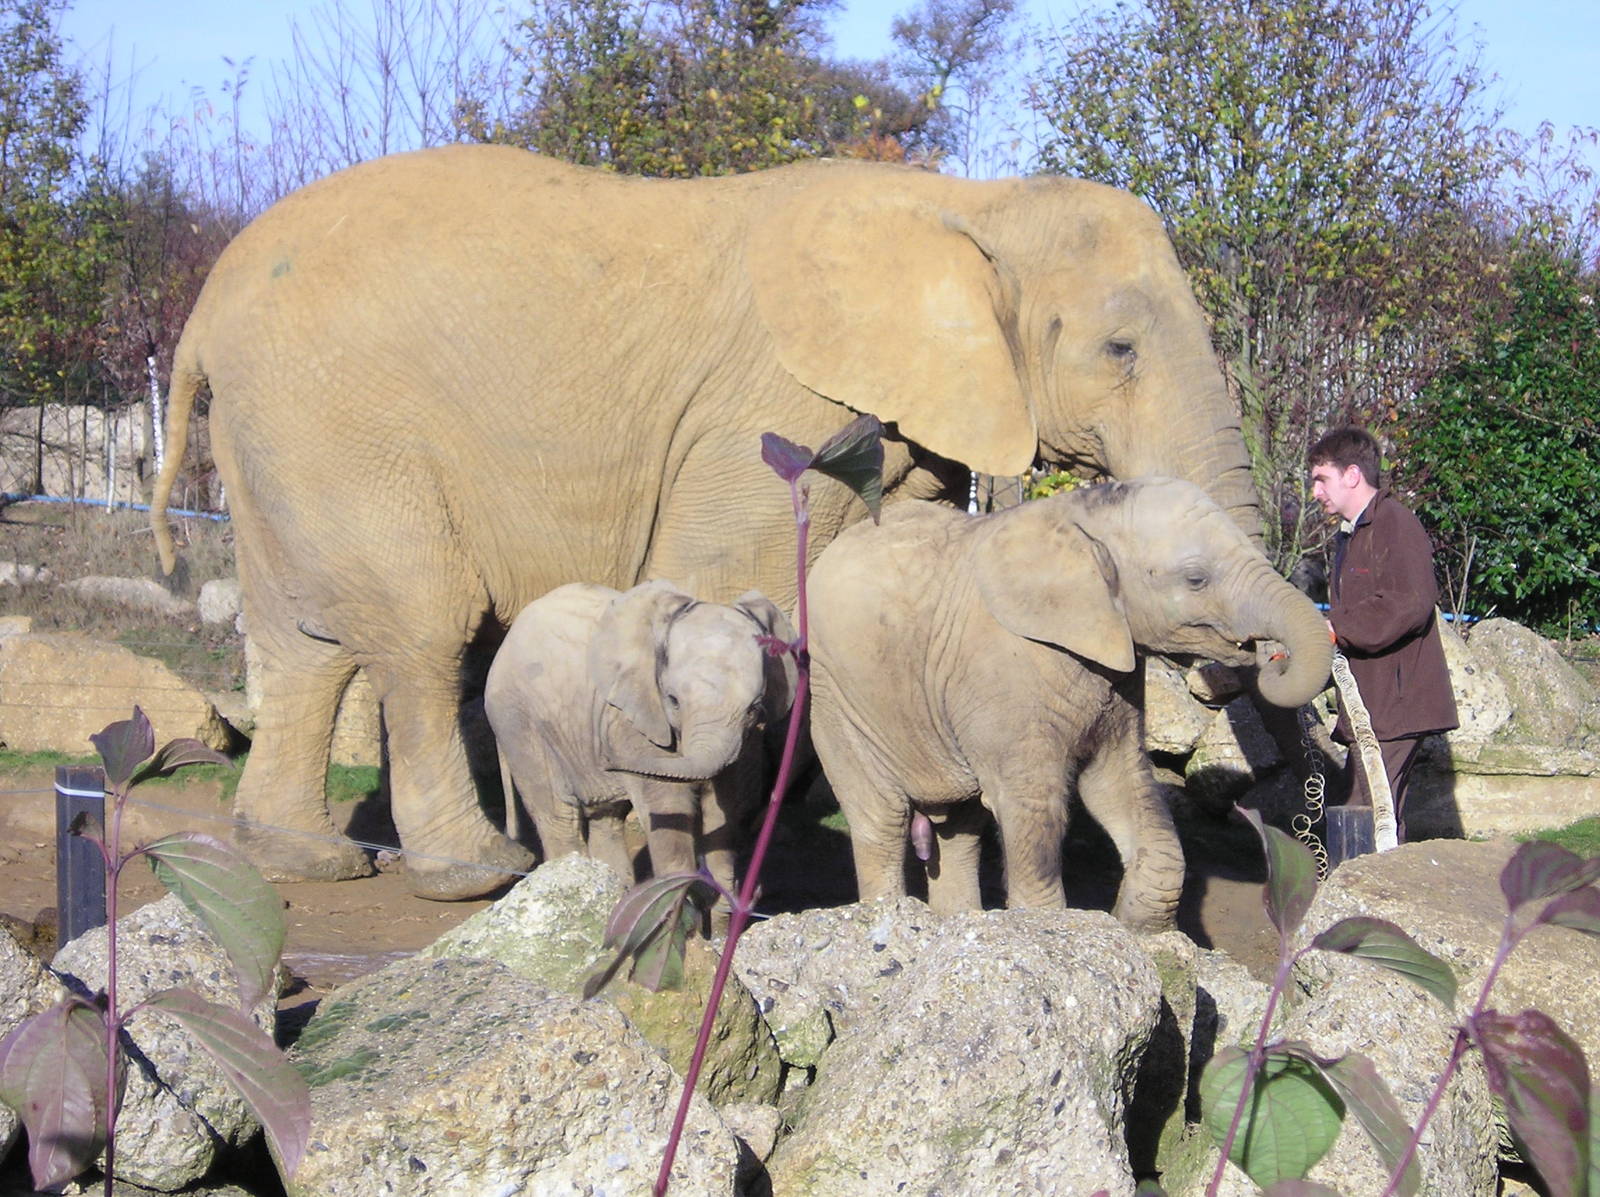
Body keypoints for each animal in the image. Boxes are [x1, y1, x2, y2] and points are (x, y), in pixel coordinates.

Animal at [483, 580, 795, 918]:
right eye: (673, 700)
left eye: (754, 708)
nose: (608, 758)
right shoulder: (632, 720)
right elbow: (669, 809)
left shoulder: (740, 739)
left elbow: (721, 808)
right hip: (518, 723)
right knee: (559, 817)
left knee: (606, 820)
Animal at [806, 477, 1333, 932]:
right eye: (1196, 578)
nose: (1273, 659)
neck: (1081, 518)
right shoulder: (1002, 675)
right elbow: (1035, 809)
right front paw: (1052, 930)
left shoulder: (1118, 674)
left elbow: (1121, 784)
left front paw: (1137, 929)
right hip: (837, 701)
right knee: (882, 818)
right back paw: (886, 920)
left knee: (961, 826)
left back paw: (960, 924)